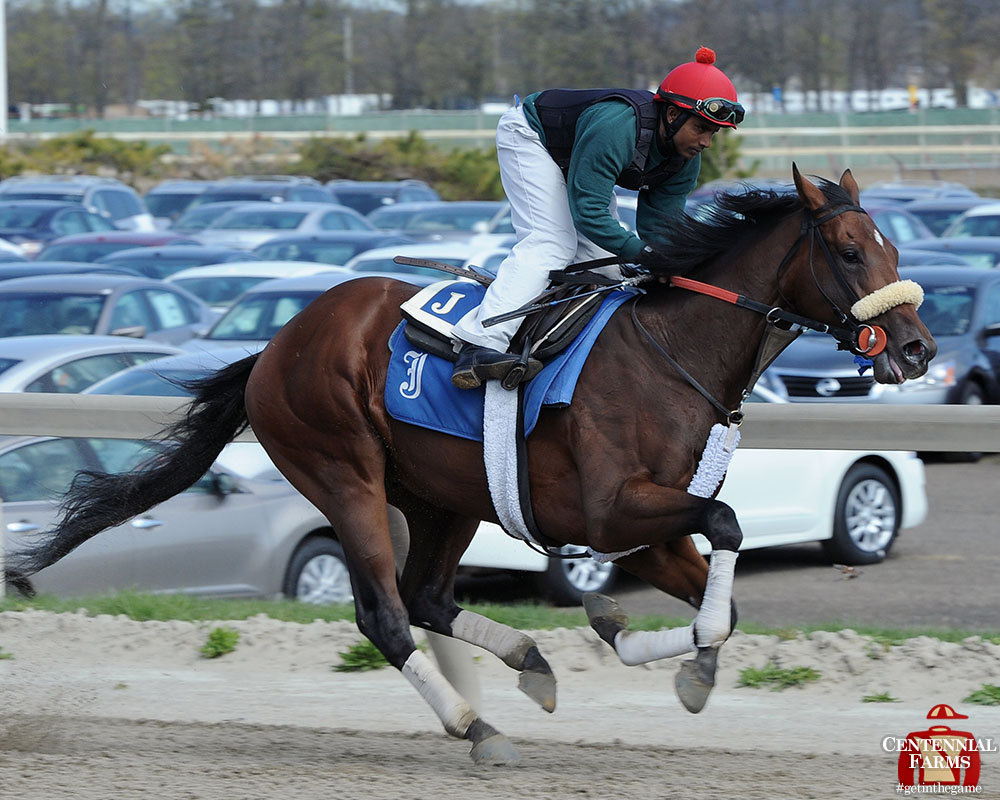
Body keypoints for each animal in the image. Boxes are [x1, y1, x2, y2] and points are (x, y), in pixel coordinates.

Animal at [5, 166, 936, 764]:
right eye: (849, 250)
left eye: (889, 245)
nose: (918, 348)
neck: (672, 351)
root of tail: (275, 346)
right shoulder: (611, 511)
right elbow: (728, 523)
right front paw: (662, 650)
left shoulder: (649, 528)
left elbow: (725, 599)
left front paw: (652, 647)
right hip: (344, 473)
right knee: (386, 615)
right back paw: (475, 728)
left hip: (446, 497)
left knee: (425, 596)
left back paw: (530, 666)